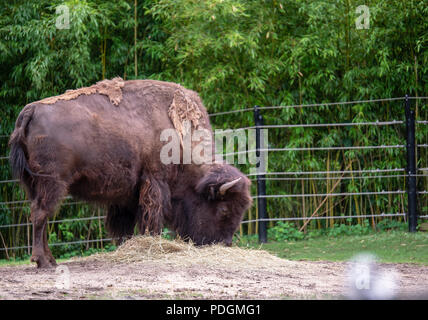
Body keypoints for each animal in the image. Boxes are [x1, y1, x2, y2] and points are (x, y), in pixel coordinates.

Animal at [8, 79, 252, 268]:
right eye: (223, 209)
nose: (225, 243)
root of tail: (31, 110)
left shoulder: (126, 194)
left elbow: (124, 224)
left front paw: (125, 246)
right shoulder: (154, 181)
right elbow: (151, 216)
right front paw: (150, 243)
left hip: (34, 185)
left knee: (40, 216)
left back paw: (51, 260)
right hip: (53, 183)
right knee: (40, 215)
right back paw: (43, 262)